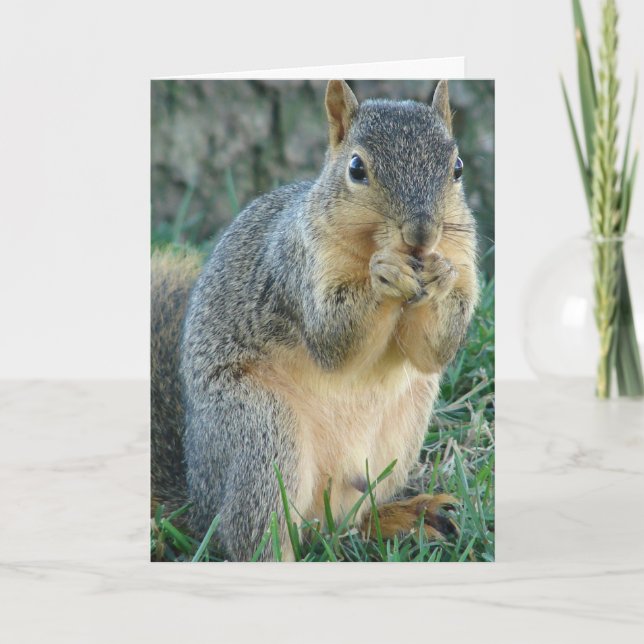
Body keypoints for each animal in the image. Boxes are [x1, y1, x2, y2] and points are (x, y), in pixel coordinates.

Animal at [151, 80, 479, 561]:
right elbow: (333, 340)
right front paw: (384, 273)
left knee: (349, 523)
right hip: (261, 434)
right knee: (252, 535)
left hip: (403, 429)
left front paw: (440, 275)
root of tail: (199, 498)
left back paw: (405, 516)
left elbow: (432, 351)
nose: (421, 235)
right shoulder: (296, 265)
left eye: (457, 168)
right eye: (357, 168)